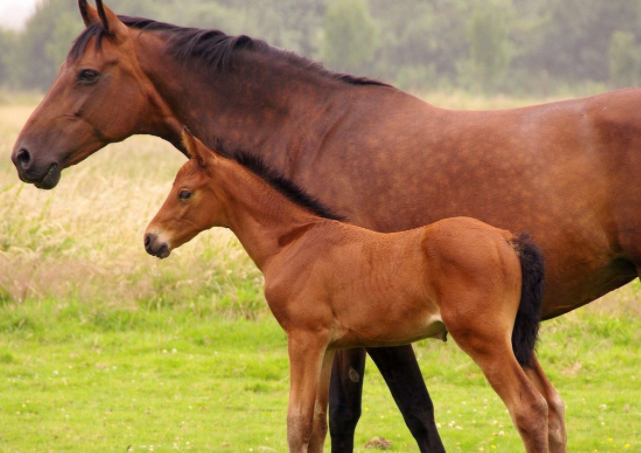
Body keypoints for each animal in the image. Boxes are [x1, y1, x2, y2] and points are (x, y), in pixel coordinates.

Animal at [11, 0, 640, 450]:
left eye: (87, 74)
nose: (23, 156)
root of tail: (510, 241)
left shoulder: (352, 334)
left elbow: (404, 415)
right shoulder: (349, 335)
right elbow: (337, 419)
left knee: (530, 411)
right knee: (549, 410)